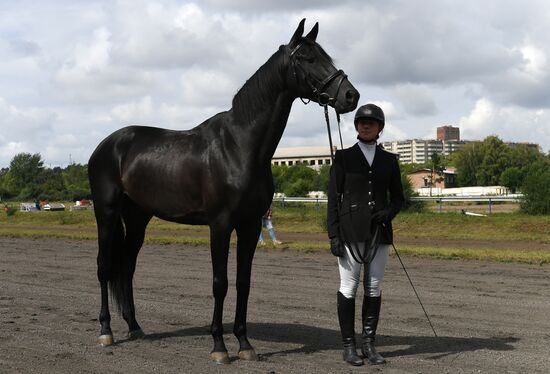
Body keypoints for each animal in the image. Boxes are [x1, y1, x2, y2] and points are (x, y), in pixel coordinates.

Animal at [88, 19, 360, 364]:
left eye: (327, 56)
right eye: (308, 58)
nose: (351, 95)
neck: (240, 146)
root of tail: (108, 145)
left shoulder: (250, 225)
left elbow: (243, 282)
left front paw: (244, 344)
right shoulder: (220, 225)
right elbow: (220, 283)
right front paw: (219, 345)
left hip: (137, 218)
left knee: (127, 269)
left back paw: (135, 327)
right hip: (107, 213)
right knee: (104, 267)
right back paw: (106, 331)